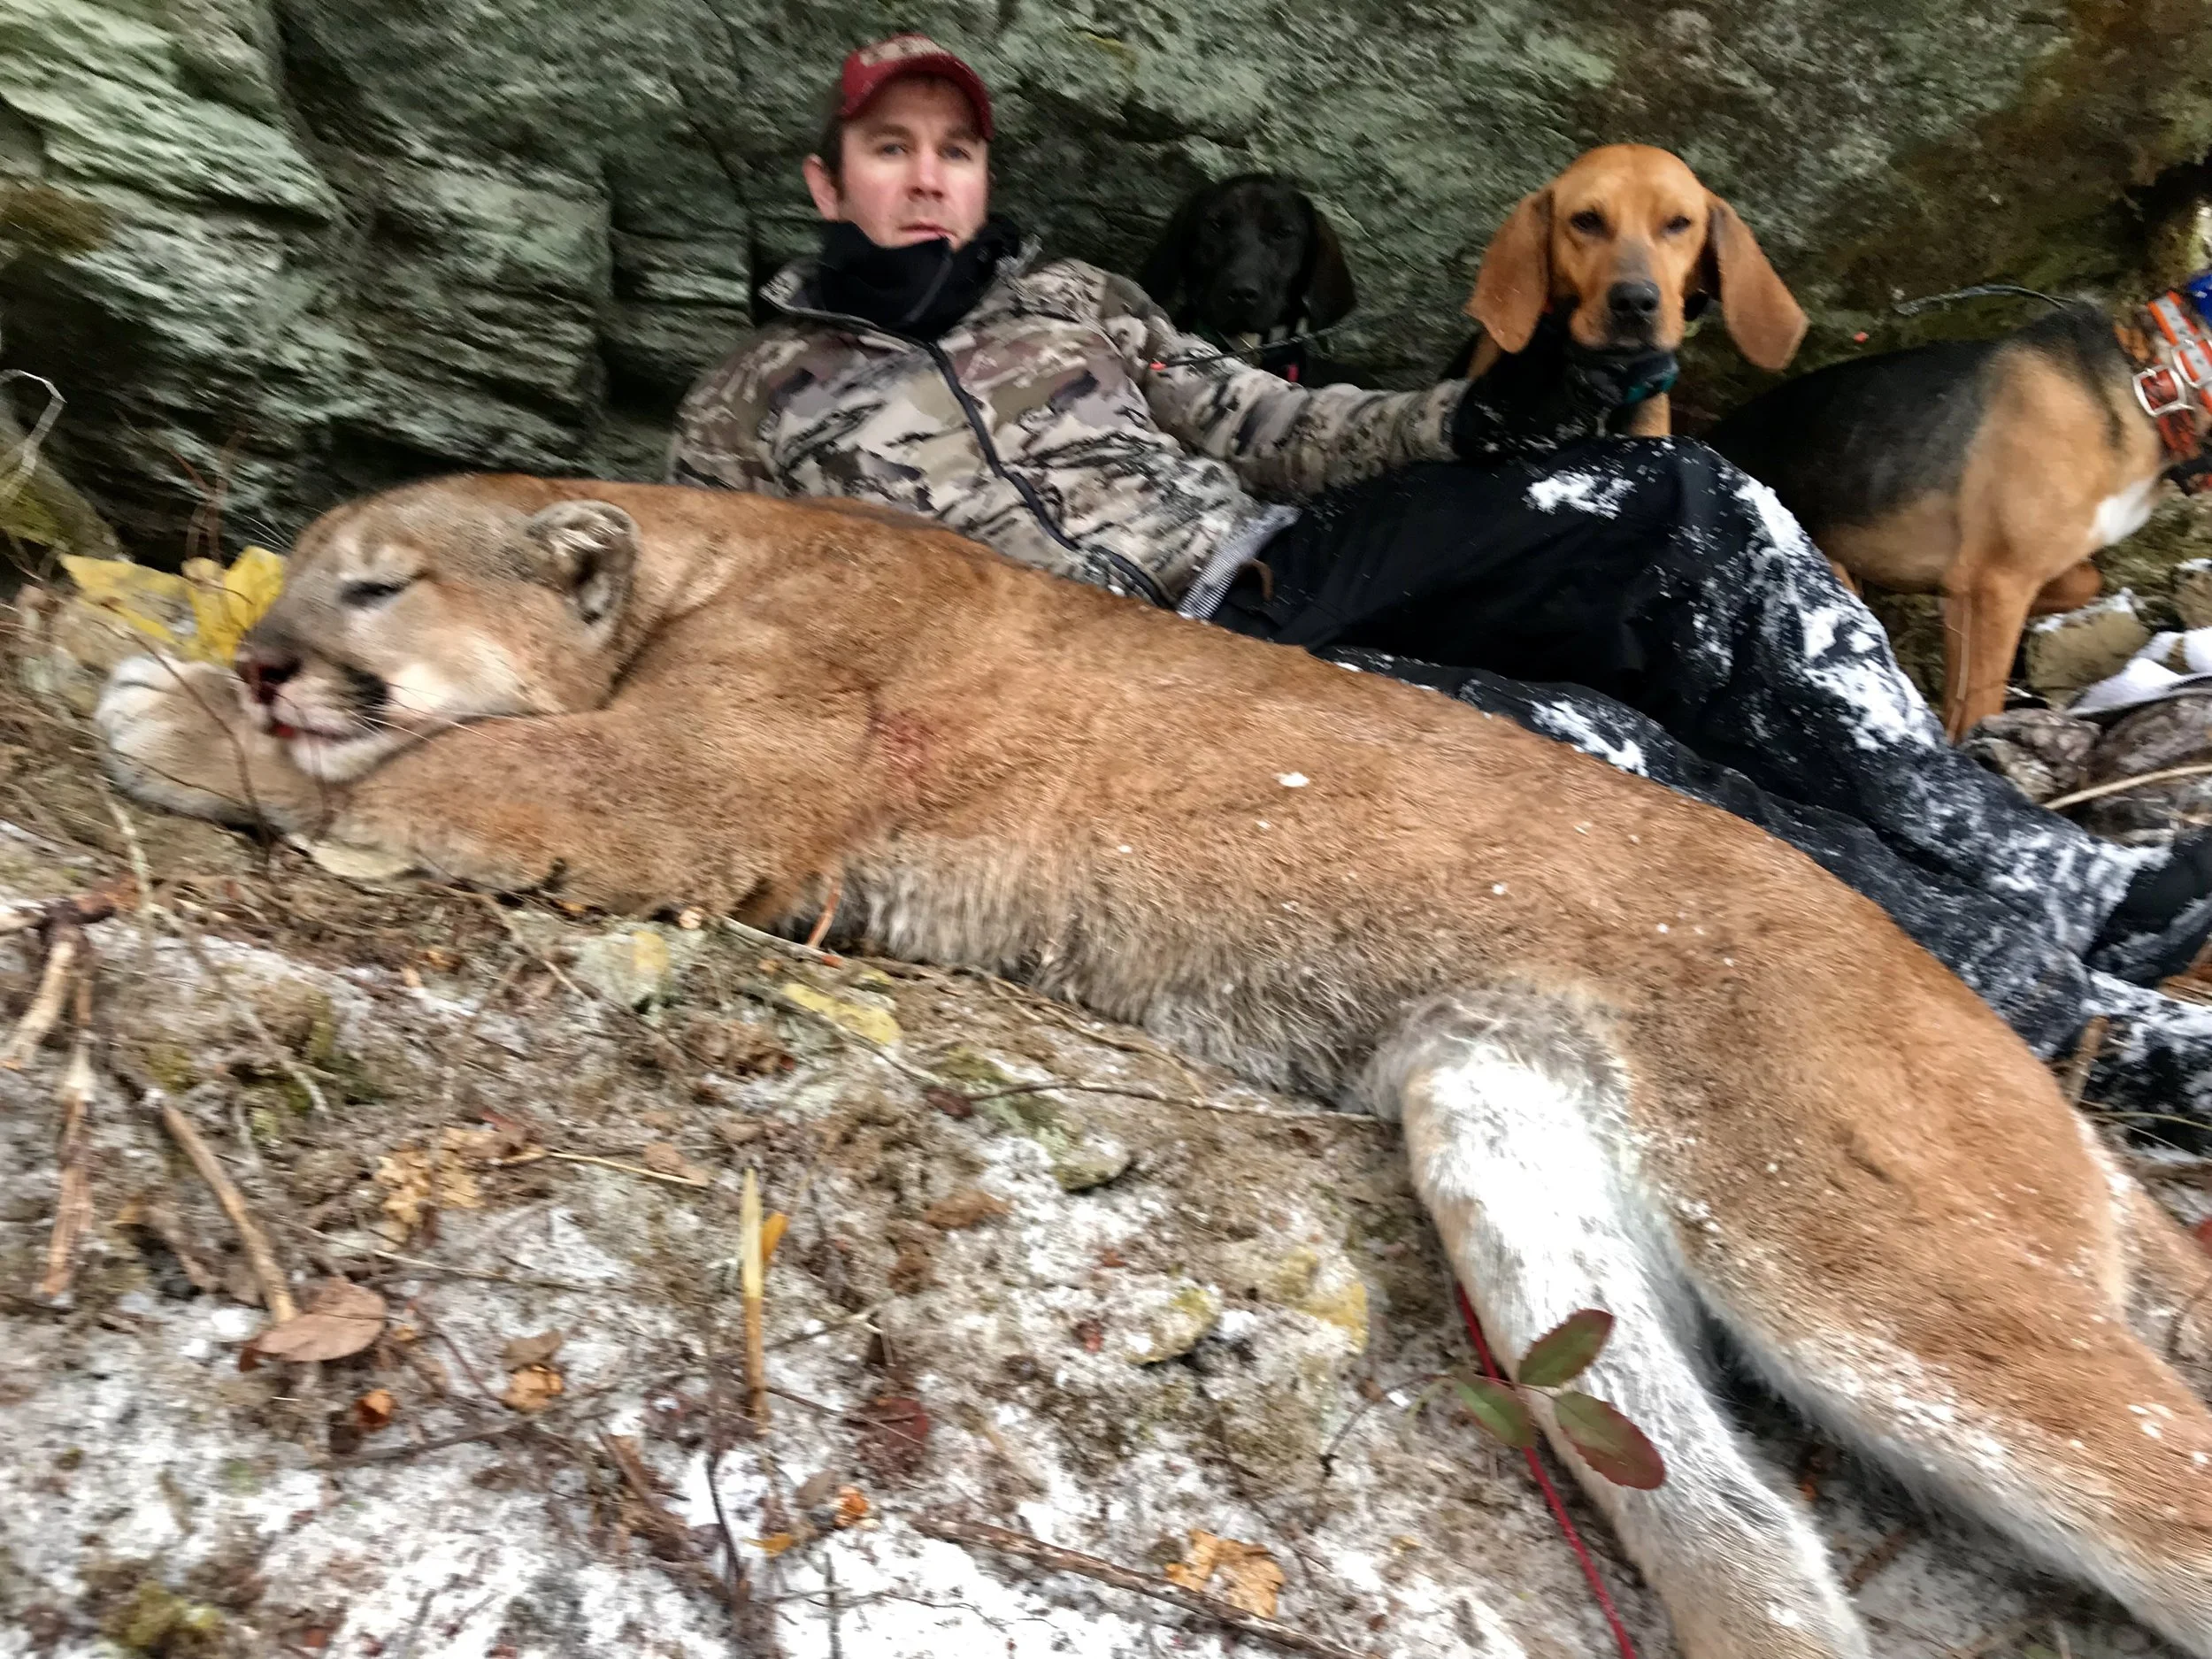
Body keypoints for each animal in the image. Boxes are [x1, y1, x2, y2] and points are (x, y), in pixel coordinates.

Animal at [96, 473, 2212, 1659]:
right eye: (301, 574)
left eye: (374, 585)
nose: (270, 650)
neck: (706, 564)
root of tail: (2042, 1079)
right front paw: (194, 690)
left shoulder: (697, 790)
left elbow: (432, 766)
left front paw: (181, 715)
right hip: (1498, 1128)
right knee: (1737, 1530)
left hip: (1854, 1246)